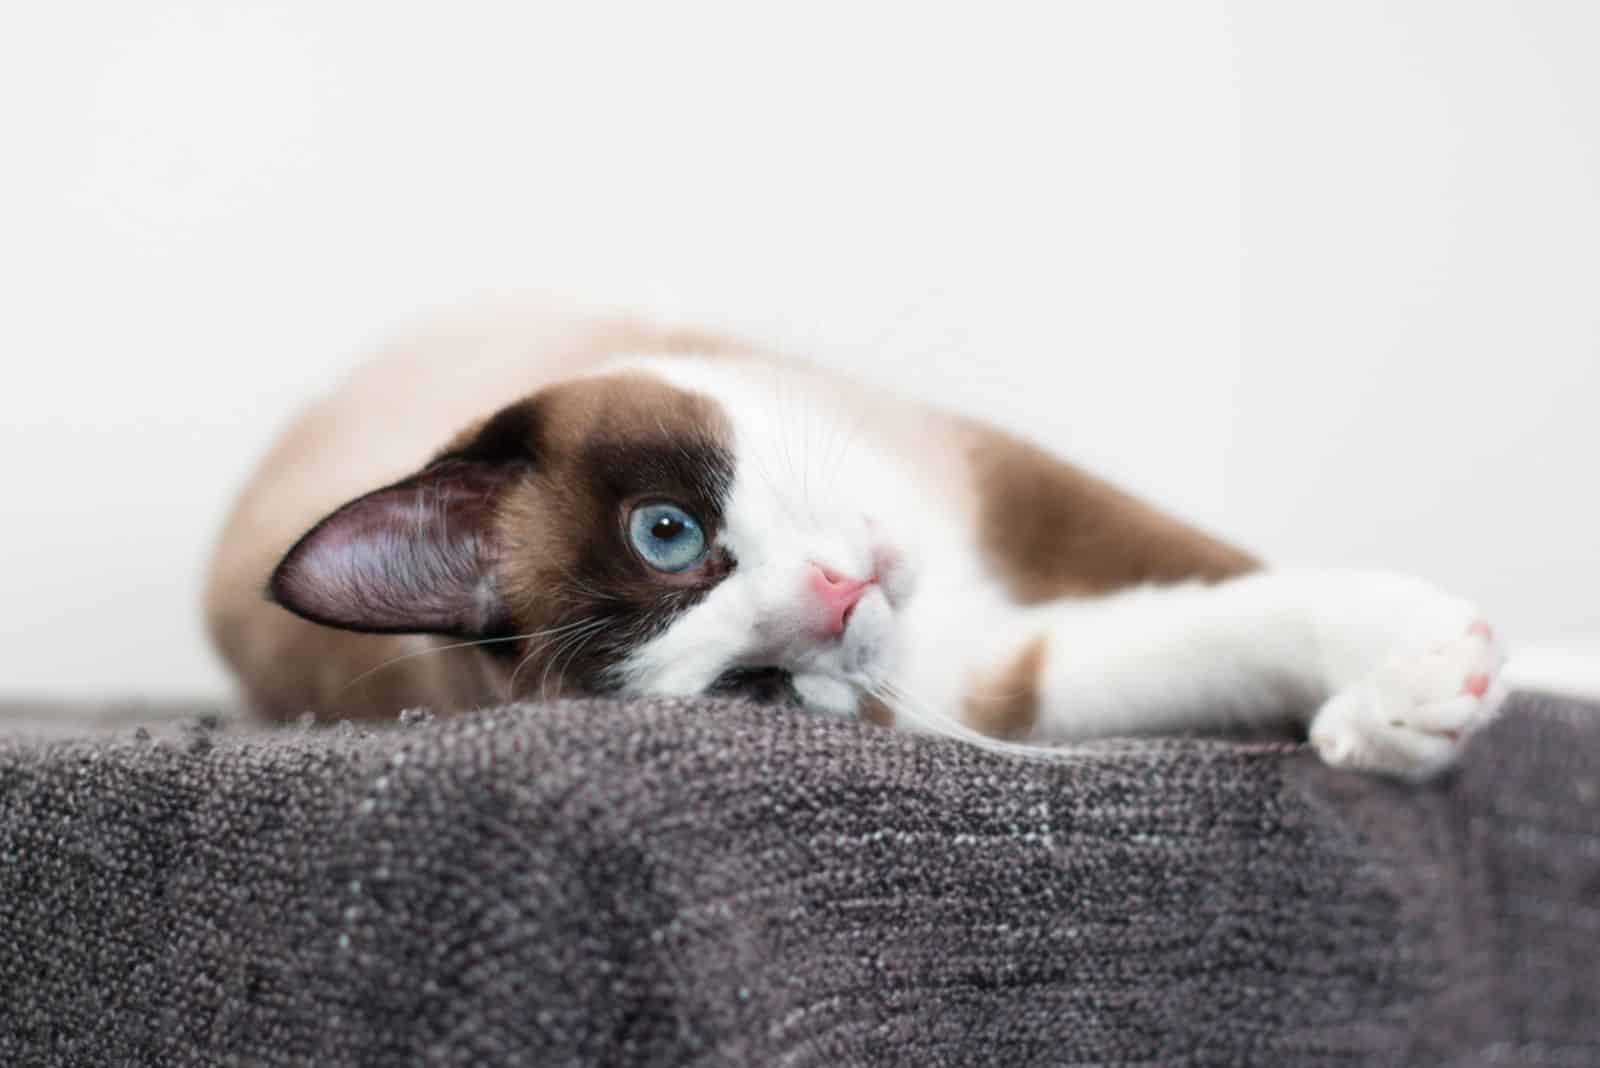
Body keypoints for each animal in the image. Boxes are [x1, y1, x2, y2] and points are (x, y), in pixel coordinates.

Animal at [206, 300, 1504, 777]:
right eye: (759, 687)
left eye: (665, 533)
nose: (836, 597)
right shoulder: (991, 678)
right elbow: (1222, 626)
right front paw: (1412, 698)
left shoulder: (1005, 481)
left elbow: (1222, 560)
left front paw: (1502, 671)